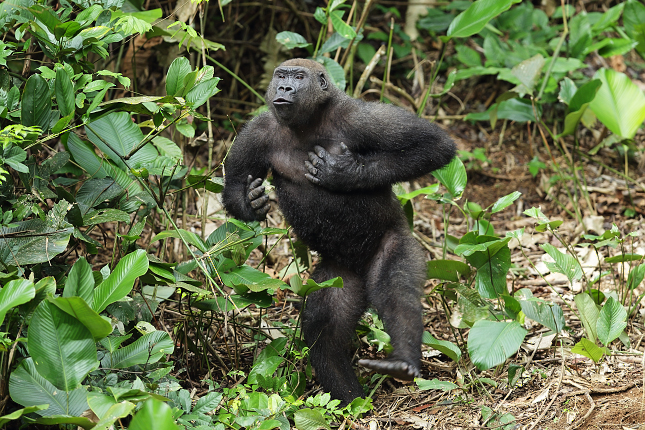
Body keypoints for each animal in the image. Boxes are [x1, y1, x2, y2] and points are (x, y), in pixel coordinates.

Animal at [224, 58, 456, 404]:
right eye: (281, 75)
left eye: (299, 77)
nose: (284, 87)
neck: (309, 122)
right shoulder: (258, 130)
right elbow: (235, 185)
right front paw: (251, 203)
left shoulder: (359, 118)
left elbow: (434, 146)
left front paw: (345, 173)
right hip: (339, 274)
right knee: (325, 328)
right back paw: (350, 397)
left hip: (395, 242)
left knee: (397, 291)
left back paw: (401, 360)